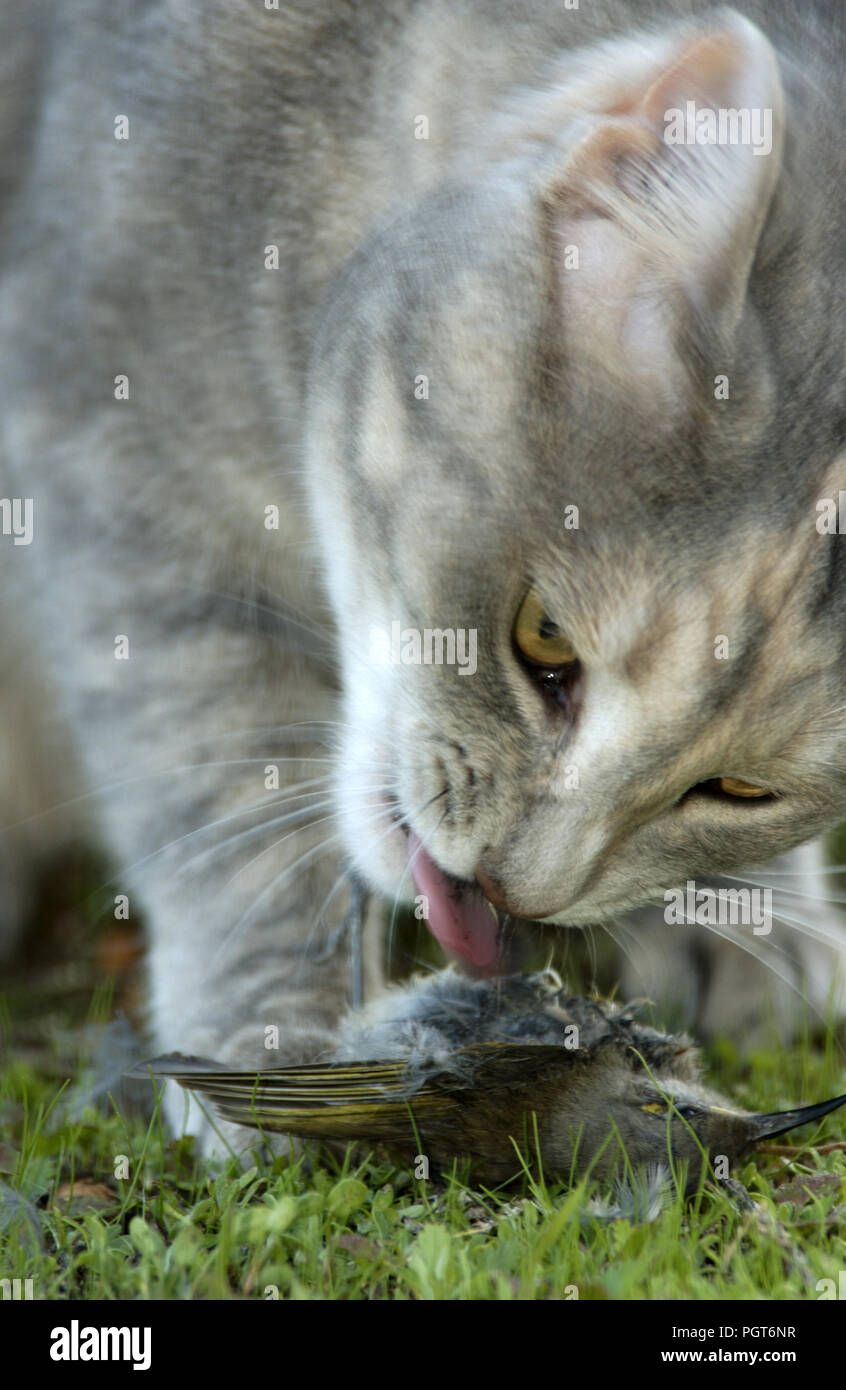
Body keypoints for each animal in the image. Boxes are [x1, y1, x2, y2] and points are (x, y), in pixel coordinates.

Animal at [0, 0, 839, 1150]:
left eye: (745, 789)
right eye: (542, 636)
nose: (515, 890)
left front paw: (742, 917)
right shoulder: (109, 450)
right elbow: (220, 772)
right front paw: (271, 1032)